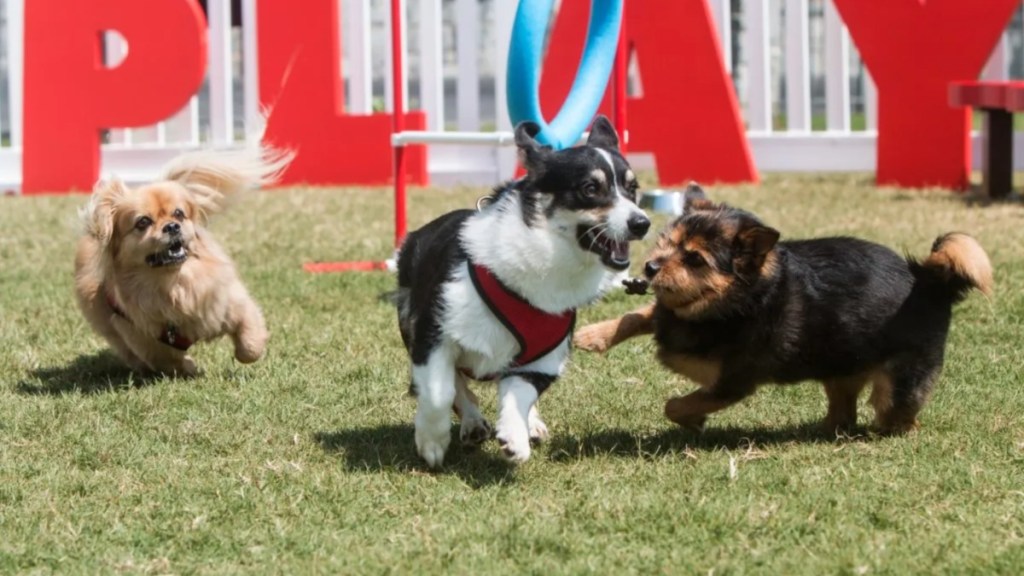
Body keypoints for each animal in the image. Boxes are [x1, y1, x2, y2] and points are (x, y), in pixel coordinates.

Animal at [73, 145, 290, 375]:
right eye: (143, 222)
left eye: (178, 214)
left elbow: (250, 344)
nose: (171, 226)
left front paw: (245, 353)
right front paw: (191, 367)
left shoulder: (231, 303)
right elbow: (168, 361)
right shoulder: (142, 337)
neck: (174, 283)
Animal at [395, 116, 651, 467]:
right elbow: (440, 391)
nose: (642, 224)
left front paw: (515, 436)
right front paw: (432, 442)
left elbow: (519, 394)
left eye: (632, 189)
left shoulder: (544, 357)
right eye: (590, 189)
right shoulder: (433, 333)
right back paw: (472, 422)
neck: (548, 257)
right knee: (456, 385)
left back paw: (530, 425)